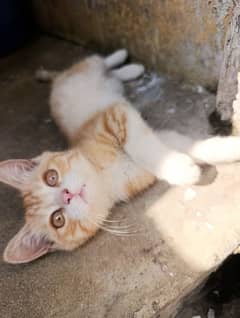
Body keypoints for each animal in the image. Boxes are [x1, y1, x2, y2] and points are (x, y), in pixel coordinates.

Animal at [1, 49, 240, 264]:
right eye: (58, 219)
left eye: (51, 177)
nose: (67, 195)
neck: (102, 174)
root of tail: (57, 80)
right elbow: (181, 147)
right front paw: (186, 166)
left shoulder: (116, 115)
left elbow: (145, 147)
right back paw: (128, 69)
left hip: (84, 70)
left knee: (96, 59)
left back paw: (124, 59)